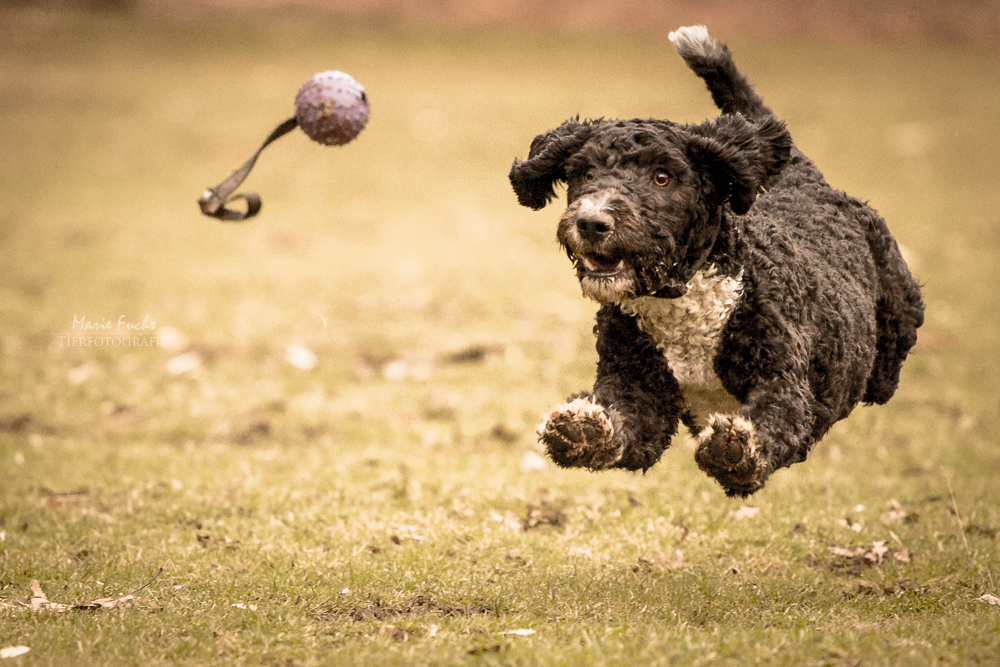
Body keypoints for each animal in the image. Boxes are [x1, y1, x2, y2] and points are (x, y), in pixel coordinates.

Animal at [512, 26, 924, 496]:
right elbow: (624, 424)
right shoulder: (638, 388)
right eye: (584, 173)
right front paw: (583, 430)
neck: (684, 303)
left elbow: (776, 417)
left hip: (893, 336)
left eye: (662, 177)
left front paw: (737, 448)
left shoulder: (785, 382)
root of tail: (804, 177)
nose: (592, 222)